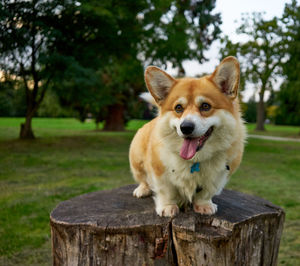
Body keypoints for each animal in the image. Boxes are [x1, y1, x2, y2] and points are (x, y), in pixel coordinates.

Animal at [129, 56, 246, 216]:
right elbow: (166, 191)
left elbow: (206, 193)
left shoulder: (218, 176)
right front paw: (167, 207)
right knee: (143, 179)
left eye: (205, 106)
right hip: (136, 162)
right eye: (178, 108)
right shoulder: (159, 172)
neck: (195, 160)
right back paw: (142, 189)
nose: (186, 127)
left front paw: (204, 206)